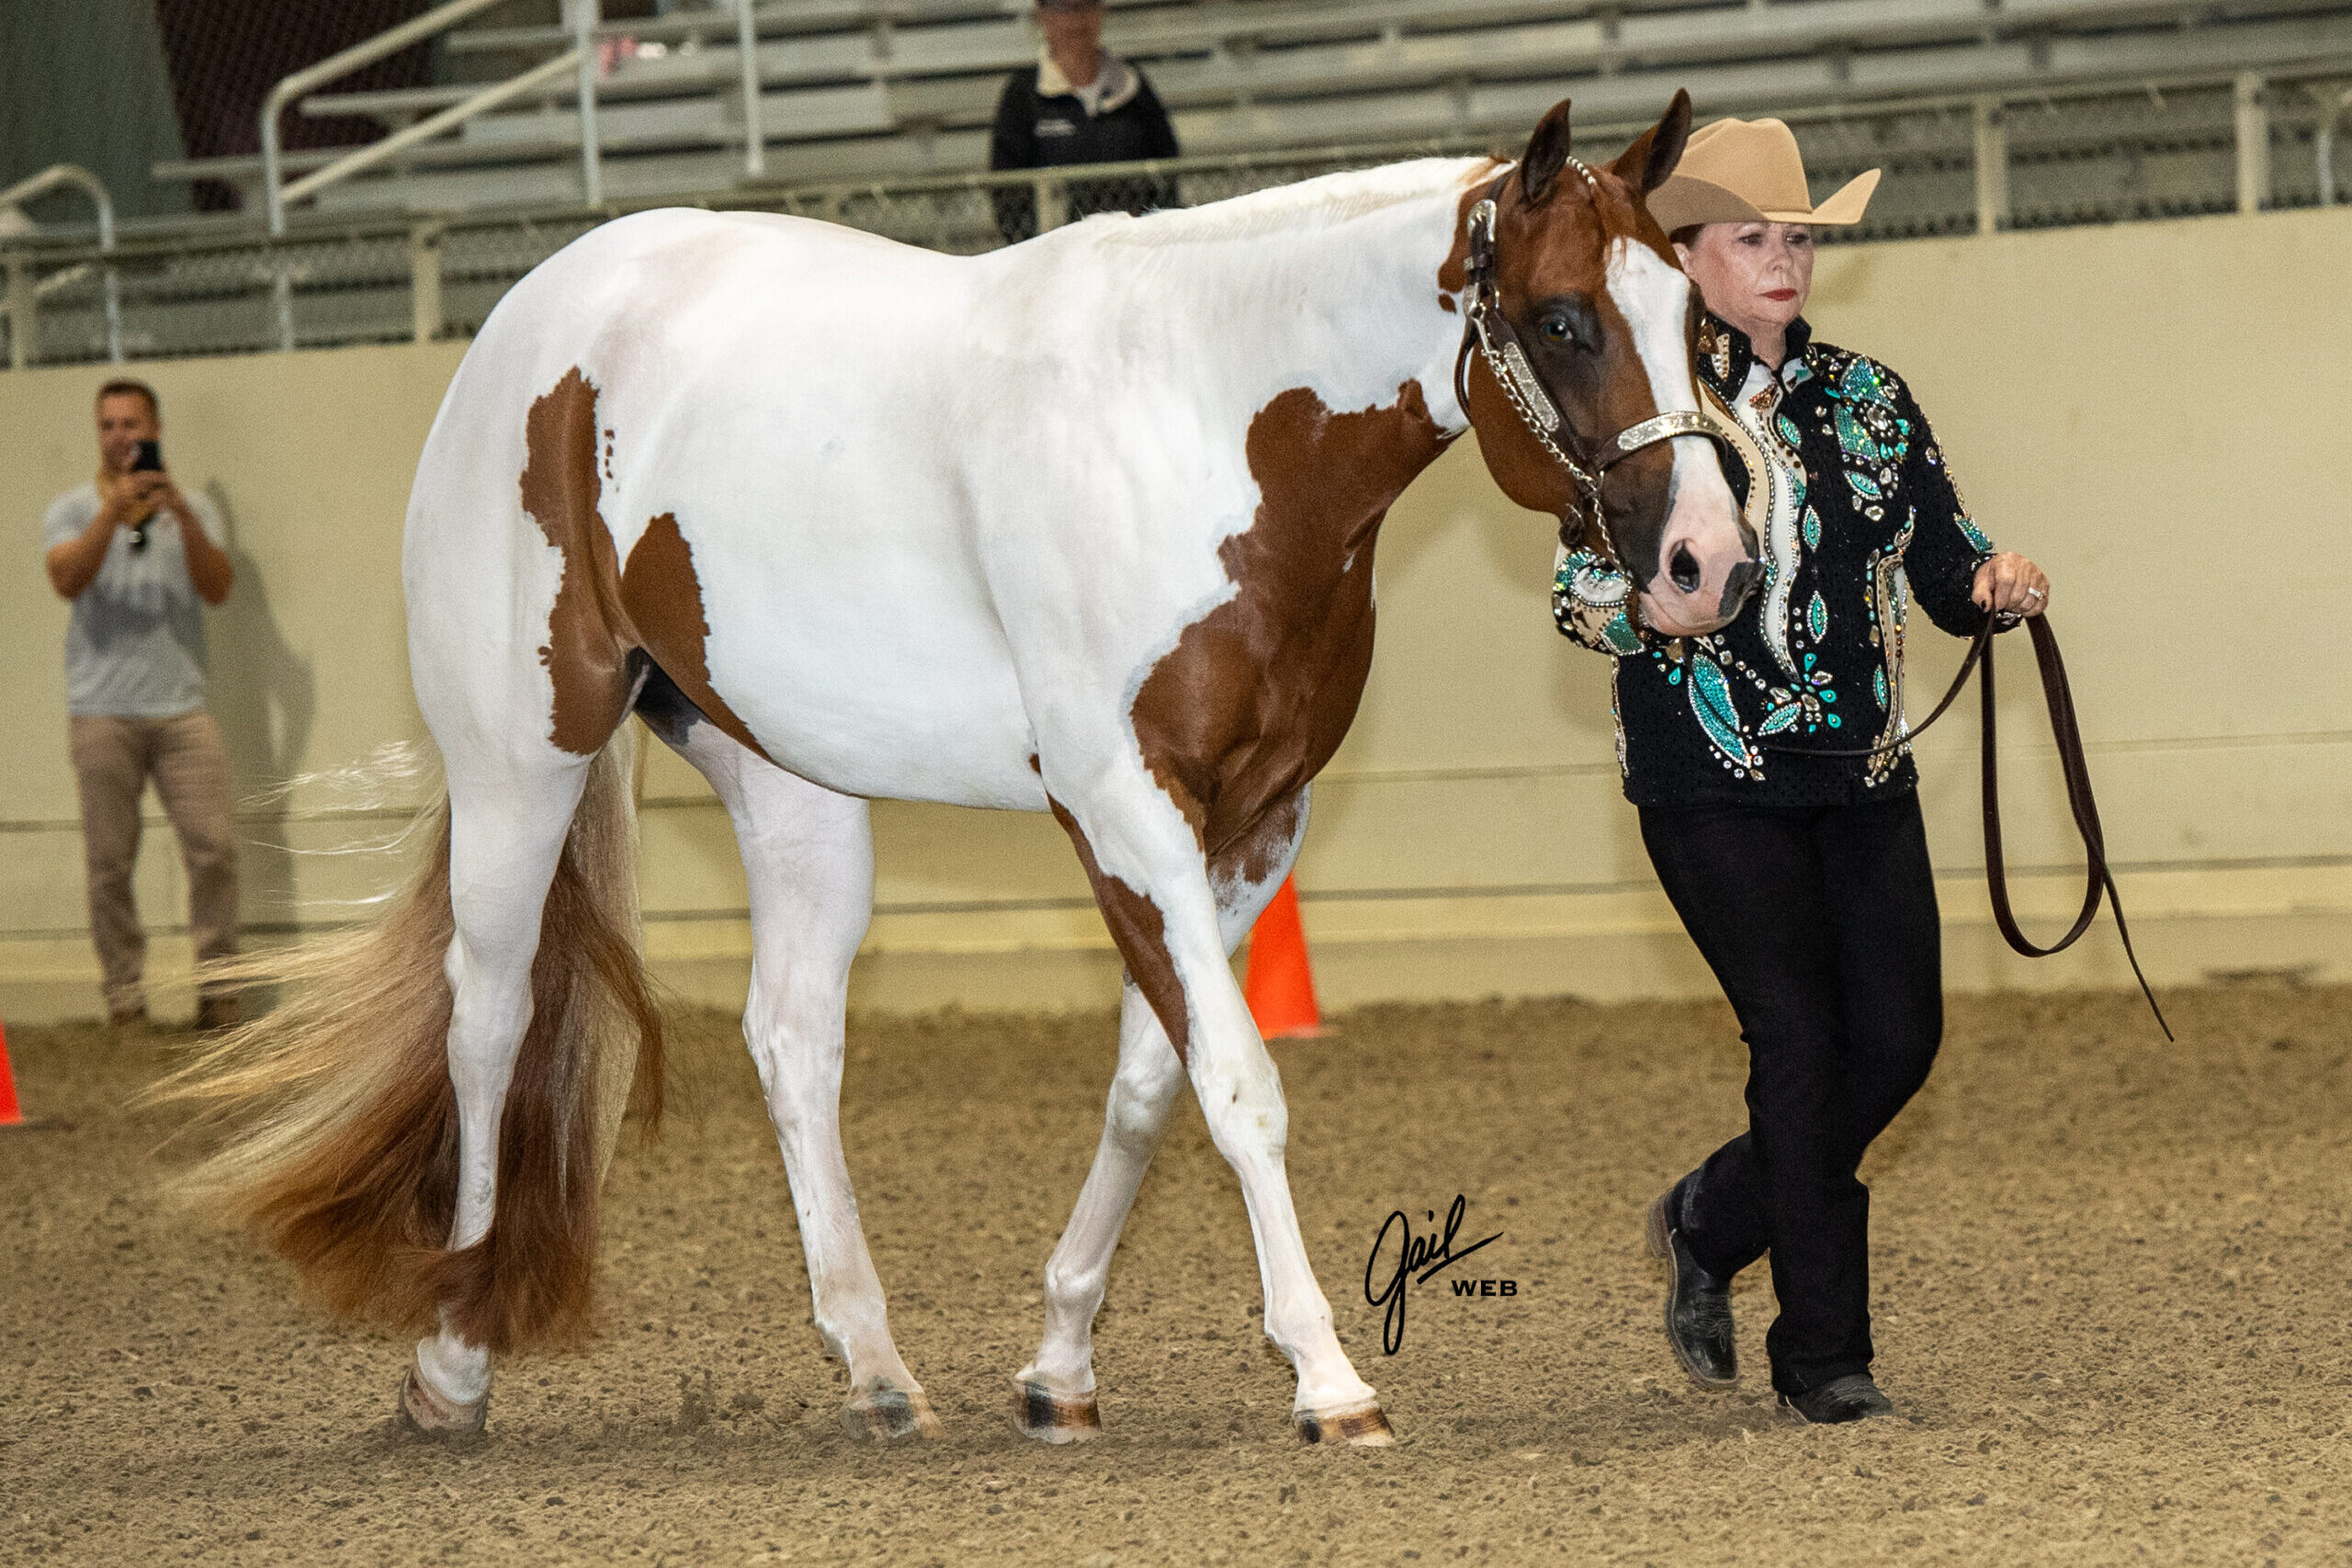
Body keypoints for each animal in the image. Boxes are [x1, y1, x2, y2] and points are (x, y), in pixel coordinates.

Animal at [174, 90, 1760, 1448]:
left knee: (790, 1036)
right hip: (521, 758)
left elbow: (1154, 1080)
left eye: (1696, 315)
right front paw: (1327, 1375)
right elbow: (1240, 1082)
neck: (1200, 420)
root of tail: (535, 320)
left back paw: (877, 1369)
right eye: (1562, 319)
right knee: (489, 1021)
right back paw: (451, 1363)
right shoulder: (1120, 804)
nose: (1707, 563)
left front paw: (1059, 1367)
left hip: (793, 786)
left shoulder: (1253, 823)